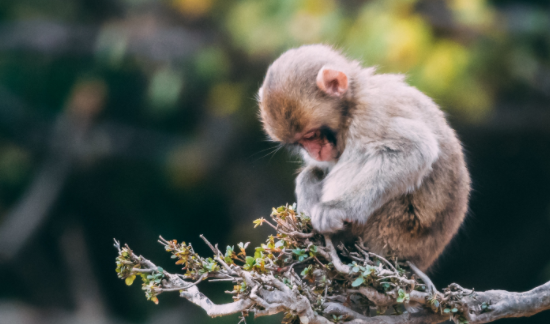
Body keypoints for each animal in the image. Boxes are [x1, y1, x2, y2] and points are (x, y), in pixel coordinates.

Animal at [258, 44, 470, 270]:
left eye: (311, 135)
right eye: (300, 143)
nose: (313, 152)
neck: (353, 101)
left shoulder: (371, 115)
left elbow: (414, 150)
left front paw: (337, 209)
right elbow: (320, 168)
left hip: (393, 231)